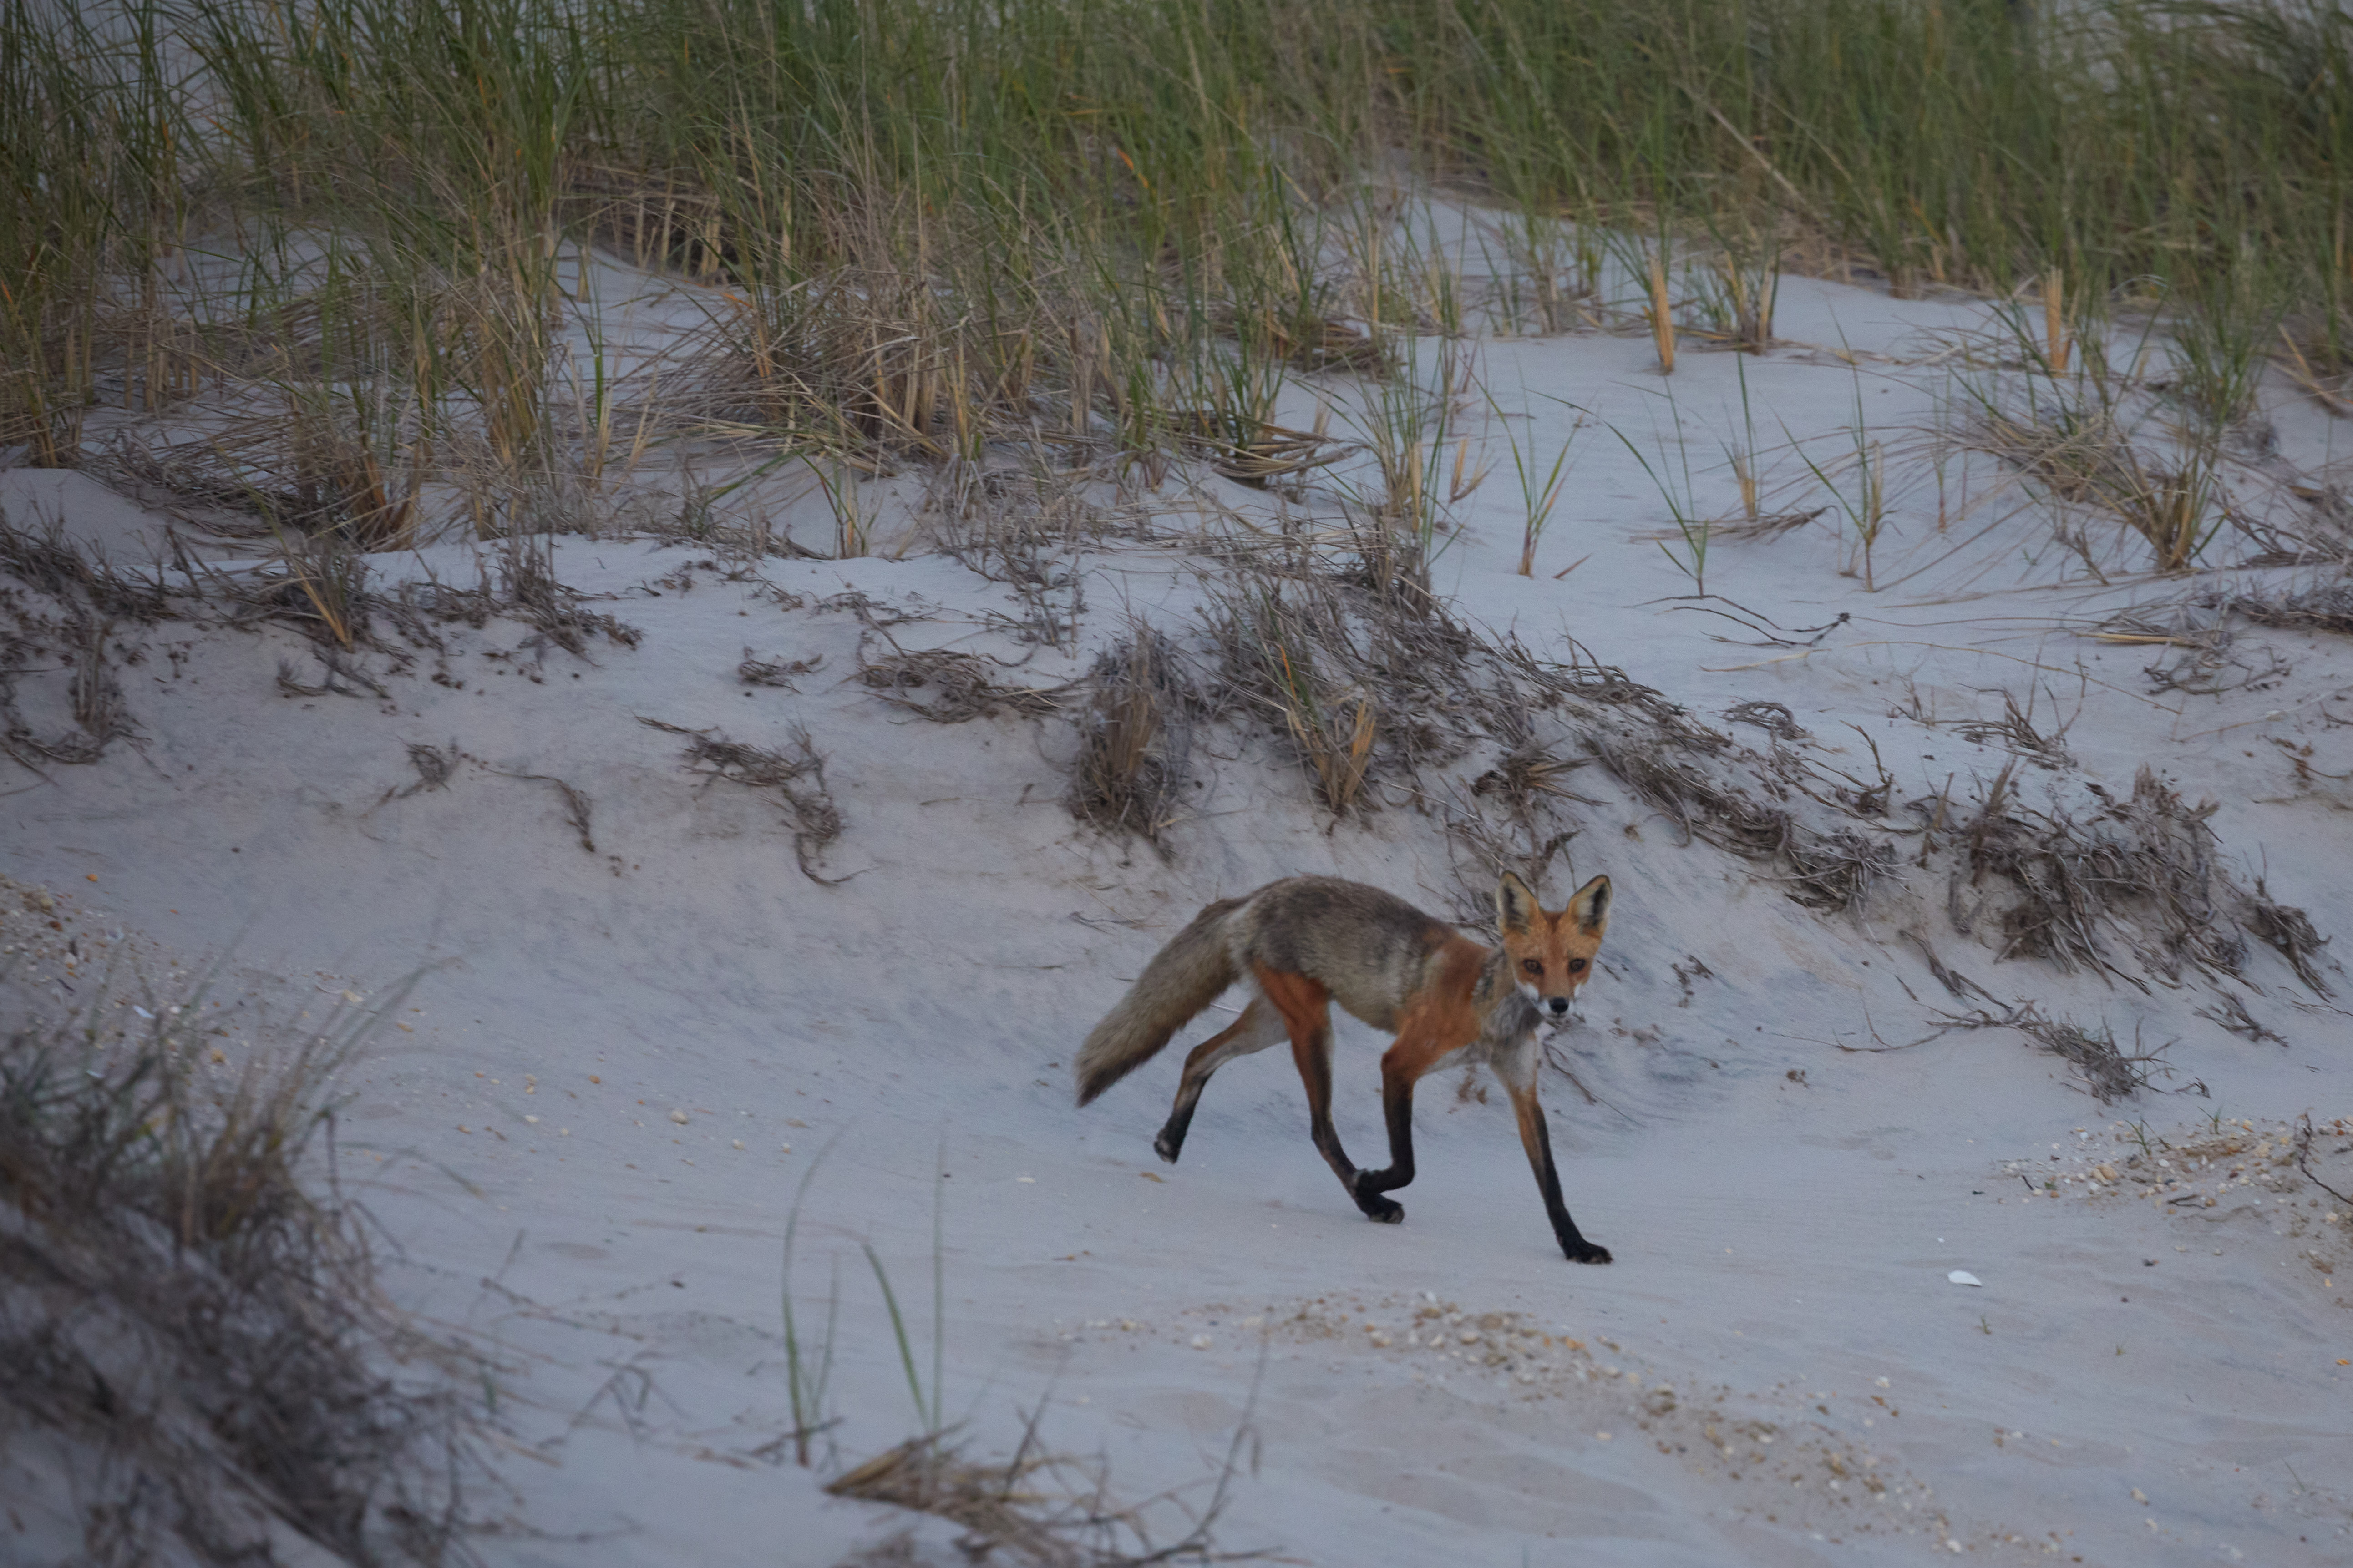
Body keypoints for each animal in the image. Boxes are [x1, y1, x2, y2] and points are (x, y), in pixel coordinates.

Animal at [1073, 870, 1615, 1263]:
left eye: (1577, 964)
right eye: (1531, 965)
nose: (1559, 1005)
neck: (1488, 1012)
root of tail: (1257, 894)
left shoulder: (1523, 1091)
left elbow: (1552, 1184)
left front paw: (1576, 1246)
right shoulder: (1398, 1063)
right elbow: (1407, 1164)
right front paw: (1370, 1182)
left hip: (1274, 1024)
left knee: (1198, 1054)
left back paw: (1171, 1138)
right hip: (1314, 1031)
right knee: (1320, 1129)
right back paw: (1368, 1202)